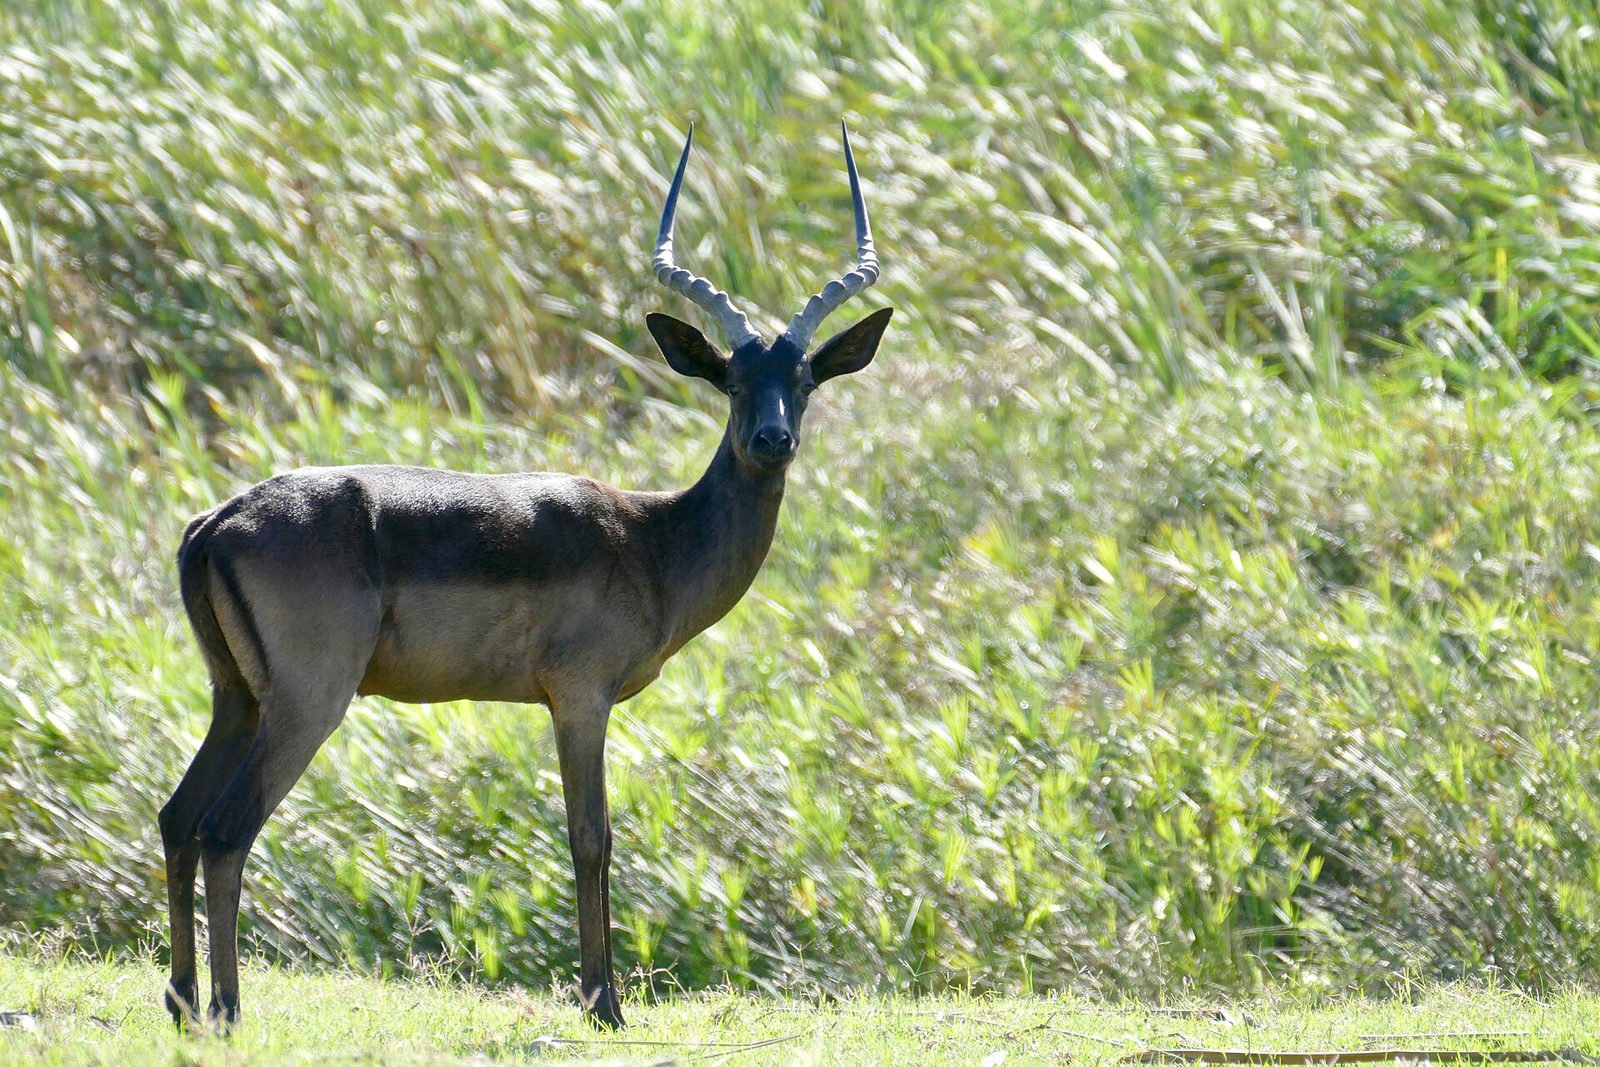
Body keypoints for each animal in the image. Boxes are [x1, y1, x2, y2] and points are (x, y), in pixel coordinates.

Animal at [158, 122, 891, 1031]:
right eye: (732, 378)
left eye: (804, 380)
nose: (771, 440)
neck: (652, 539)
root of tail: (215, 522)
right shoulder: (580, 697)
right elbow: (592, 836)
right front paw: (605, 1003)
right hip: (305, 703)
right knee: (226, 828)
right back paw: (227, 1008)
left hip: (237, 698)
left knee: (178, 818)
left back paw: (182, 1001)